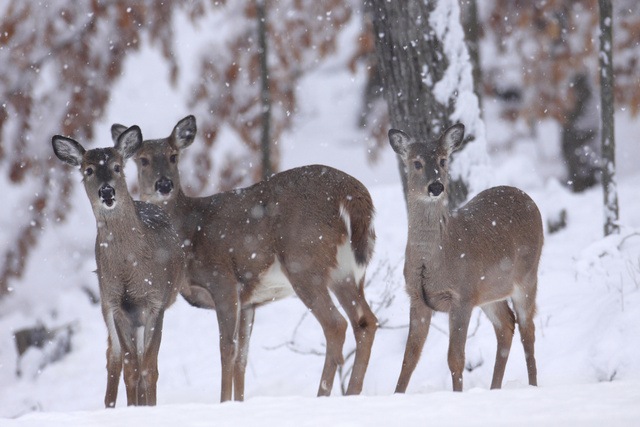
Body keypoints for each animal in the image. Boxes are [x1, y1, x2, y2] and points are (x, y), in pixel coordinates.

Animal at [52, 126, 188, 407]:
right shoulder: (117, 305)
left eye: (116, 166)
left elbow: (149, 368)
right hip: (105, 302)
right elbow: (130, 367)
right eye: (88, 170)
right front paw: (134, 408)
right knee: (113, 357)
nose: (107, 192)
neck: (129, 269)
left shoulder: (155, 302)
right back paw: (111, 405)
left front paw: (148, 407)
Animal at [111, 116, 378, 402]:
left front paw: (224, 401)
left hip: (304, 261)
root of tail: (353, 195)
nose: (164, 185)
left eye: (174, 156)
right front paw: (238, 401)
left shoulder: (223, 281)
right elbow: (242, 356)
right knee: (366, 321)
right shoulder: (249, 301)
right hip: (347, 271)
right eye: (143, 159)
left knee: (336, 324)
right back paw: (353, 393)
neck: (188, 234)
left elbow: (226, 349)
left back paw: (323, 394)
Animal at [388, 124, 543, 393]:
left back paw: (533, 386)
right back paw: (494, 389)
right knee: (506, 325)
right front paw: (396, 395)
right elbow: (410, 357)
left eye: (443, 159)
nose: (436, 187)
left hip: (527, 276)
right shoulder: (417, 297)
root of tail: (527, 198)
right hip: (488, 292)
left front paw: (457, 395)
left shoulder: (461, 295)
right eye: (416, 162)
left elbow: (455, 357)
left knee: (528, 329)